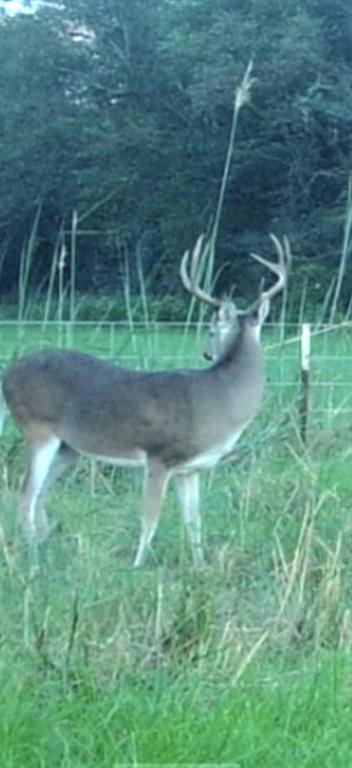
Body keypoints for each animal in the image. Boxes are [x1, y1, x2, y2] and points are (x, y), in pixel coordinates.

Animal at [0, 237, 290, 568]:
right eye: (210, 329)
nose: (206, 353)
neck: (218, 398)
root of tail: (7, 374)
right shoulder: (159, 455)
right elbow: (150, 517)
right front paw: (137, 566)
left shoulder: (190, 469)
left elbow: (194, 521)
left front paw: (201, 566)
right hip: (37, 428)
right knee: (25, 495)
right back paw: (33, 560)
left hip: (68, 447)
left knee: (41, 495)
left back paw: (46, 549)